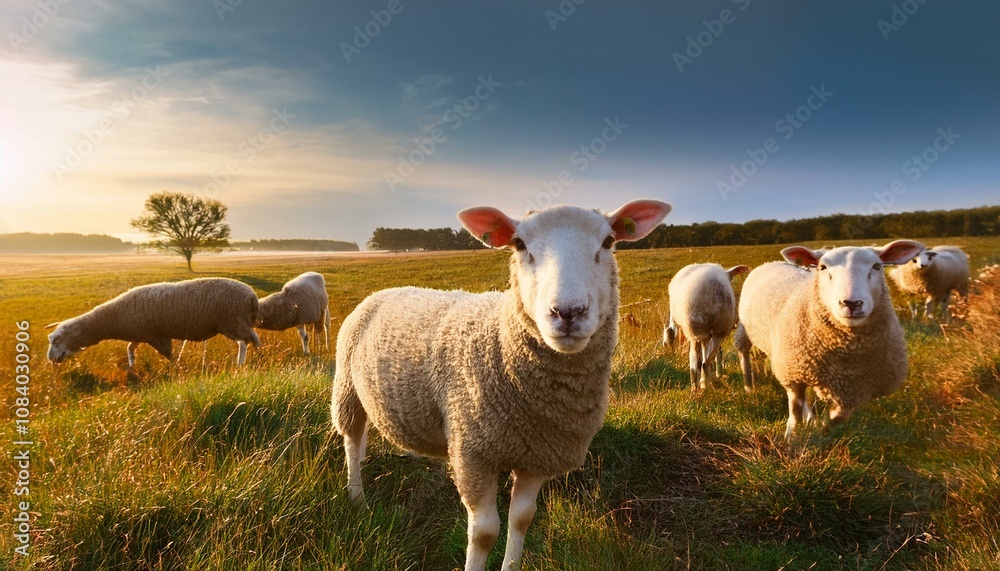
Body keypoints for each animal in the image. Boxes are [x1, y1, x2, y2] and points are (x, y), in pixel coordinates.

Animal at [46, 277, 261, 368]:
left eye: (57, 341)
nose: (51, 360)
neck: (111, 318)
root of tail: (251, 295)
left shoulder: (156, 336)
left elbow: (168, 355)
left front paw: (177, 368)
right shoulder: (140, 334)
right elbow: (130, 349)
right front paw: (132, 366)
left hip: (232, 321)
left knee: (243, 342)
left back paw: (240, 363)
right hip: (240, 321)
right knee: (254, 338)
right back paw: (261, 355)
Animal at [331, 199, 672, 571]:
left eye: (609, 242)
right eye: (519, 244)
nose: (567, 312)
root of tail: (384, 291)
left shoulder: (537, 456)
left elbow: (521, 519)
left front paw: (511, 563)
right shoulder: (473, 454)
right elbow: (484, 534)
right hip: (347, 389)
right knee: (351, 440)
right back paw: (357, 496)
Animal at [733, 240, 924, 440]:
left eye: (877, 266)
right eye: (823, 267)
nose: (852, 303)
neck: (846, 356)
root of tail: (772, 262)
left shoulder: (852, 389)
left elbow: (837, 417)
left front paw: (822, 428)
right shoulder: (792, 372)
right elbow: (794, 410)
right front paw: (792, 436)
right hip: (748, 332)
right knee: (744, 354)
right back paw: (749, 387)